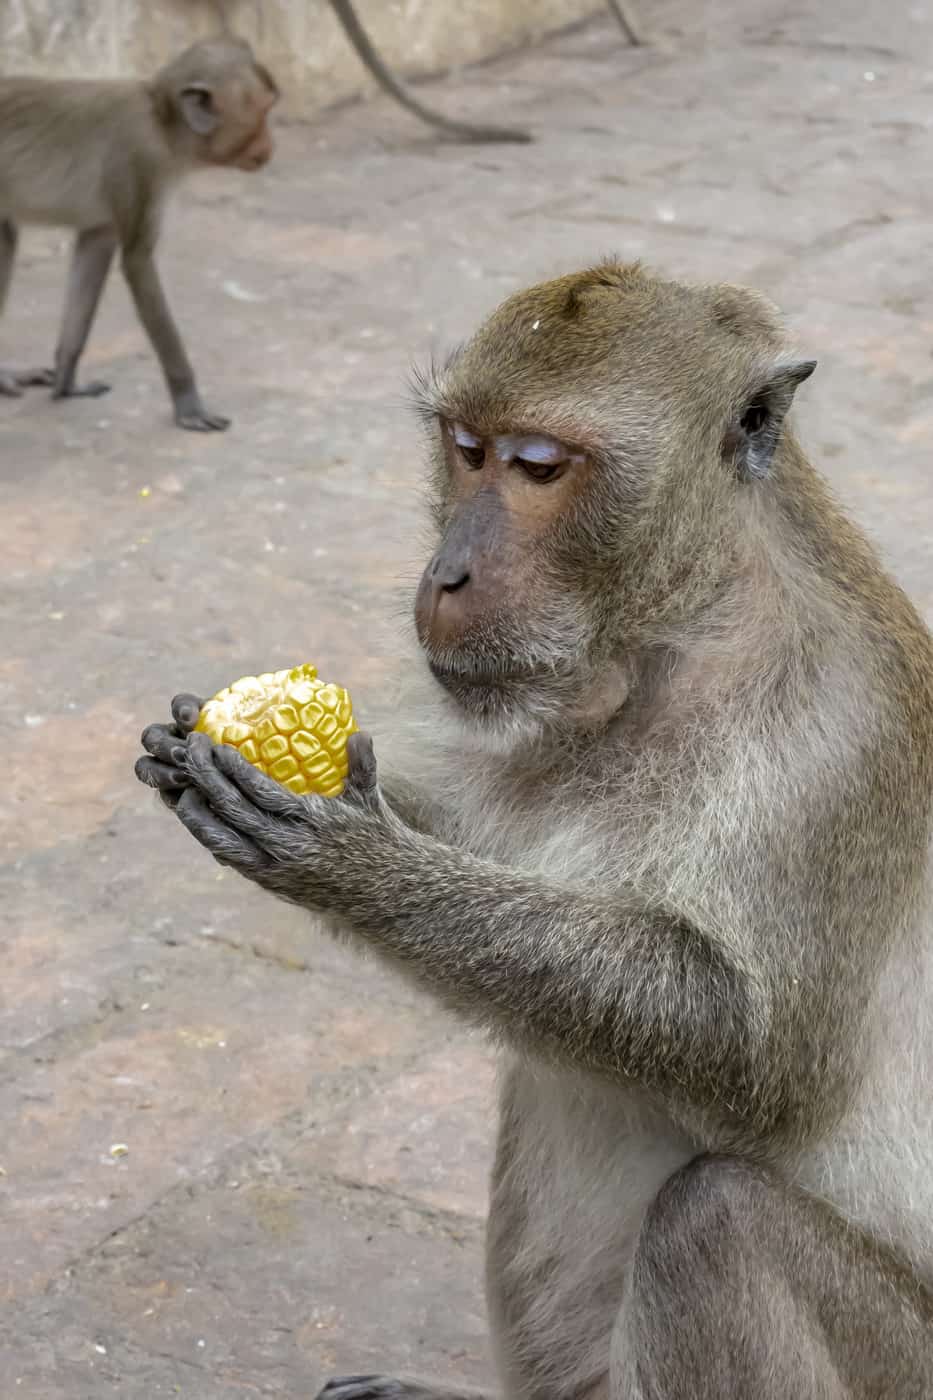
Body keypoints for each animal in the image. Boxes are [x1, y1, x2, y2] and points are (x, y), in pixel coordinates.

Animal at [0, 39, 275, 431]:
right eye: (264, 113)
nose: (270, 146)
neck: (161, 123)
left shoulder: (107, 214)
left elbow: (96, 247)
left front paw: (67, 382)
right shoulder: (138, 162)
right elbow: (137, 262)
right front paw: (188, 405)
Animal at [132, 260, 930, 1388]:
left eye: (539, 467)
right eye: (466, 449)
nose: (447, 573)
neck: (679, 630)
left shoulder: (836, 737)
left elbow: (754, 1052)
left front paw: (353, 865)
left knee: (715, 1222)